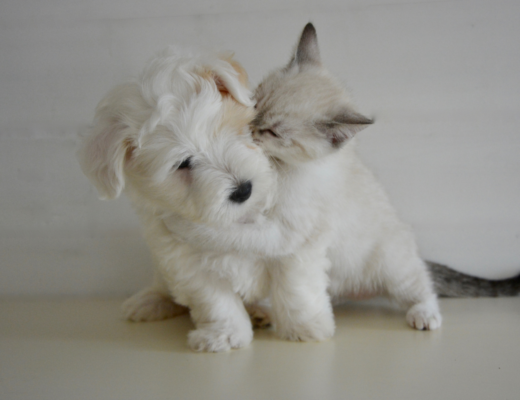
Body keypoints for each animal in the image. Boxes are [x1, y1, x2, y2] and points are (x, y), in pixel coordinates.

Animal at [78, 48, 276, 352]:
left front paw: (265, 311)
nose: (244, 190)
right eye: (183, 163)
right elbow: (217, 300)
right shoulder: (185, 263)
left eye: (233, 131)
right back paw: (149, 301)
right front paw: (227, 334)